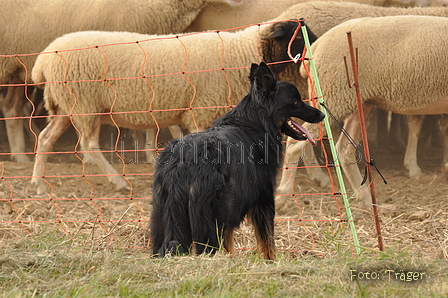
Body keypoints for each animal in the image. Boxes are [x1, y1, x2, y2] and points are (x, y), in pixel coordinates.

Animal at [29, 19, 316, 194]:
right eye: (298, 36)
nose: (316, 53)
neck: (240, 52)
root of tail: (42, 60)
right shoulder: (201, 109)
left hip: (67, 106)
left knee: (45, 138)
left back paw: (38, 184)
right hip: (84, 103)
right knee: (88, 145)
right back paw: (119, 182)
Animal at [152, 62, 324, 258]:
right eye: (296, 102)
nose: (322, 115)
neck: (256, 122)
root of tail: (182, 160)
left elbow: (229, 244)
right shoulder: (263, 198)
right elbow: (268, 243)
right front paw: (271, 261)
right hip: (208, 222)